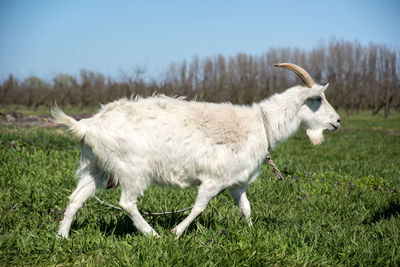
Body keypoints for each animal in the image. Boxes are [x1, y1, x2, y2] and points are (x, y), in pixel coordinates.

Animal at [52, 63, 340, 239]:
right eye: (318, 99)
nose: (337, 122)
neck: (261, 124)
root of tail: (88, 125)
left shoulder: (237, 183)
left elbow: (246, 208)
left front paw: (251, 231)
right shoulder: (214, 179)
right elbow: (199, 207)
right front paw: (176, 232)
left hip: (96, 167)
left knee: (75, 198)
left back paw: (62, 236)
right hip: (132, 169)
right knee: (127, 203)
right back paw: (152, 234)